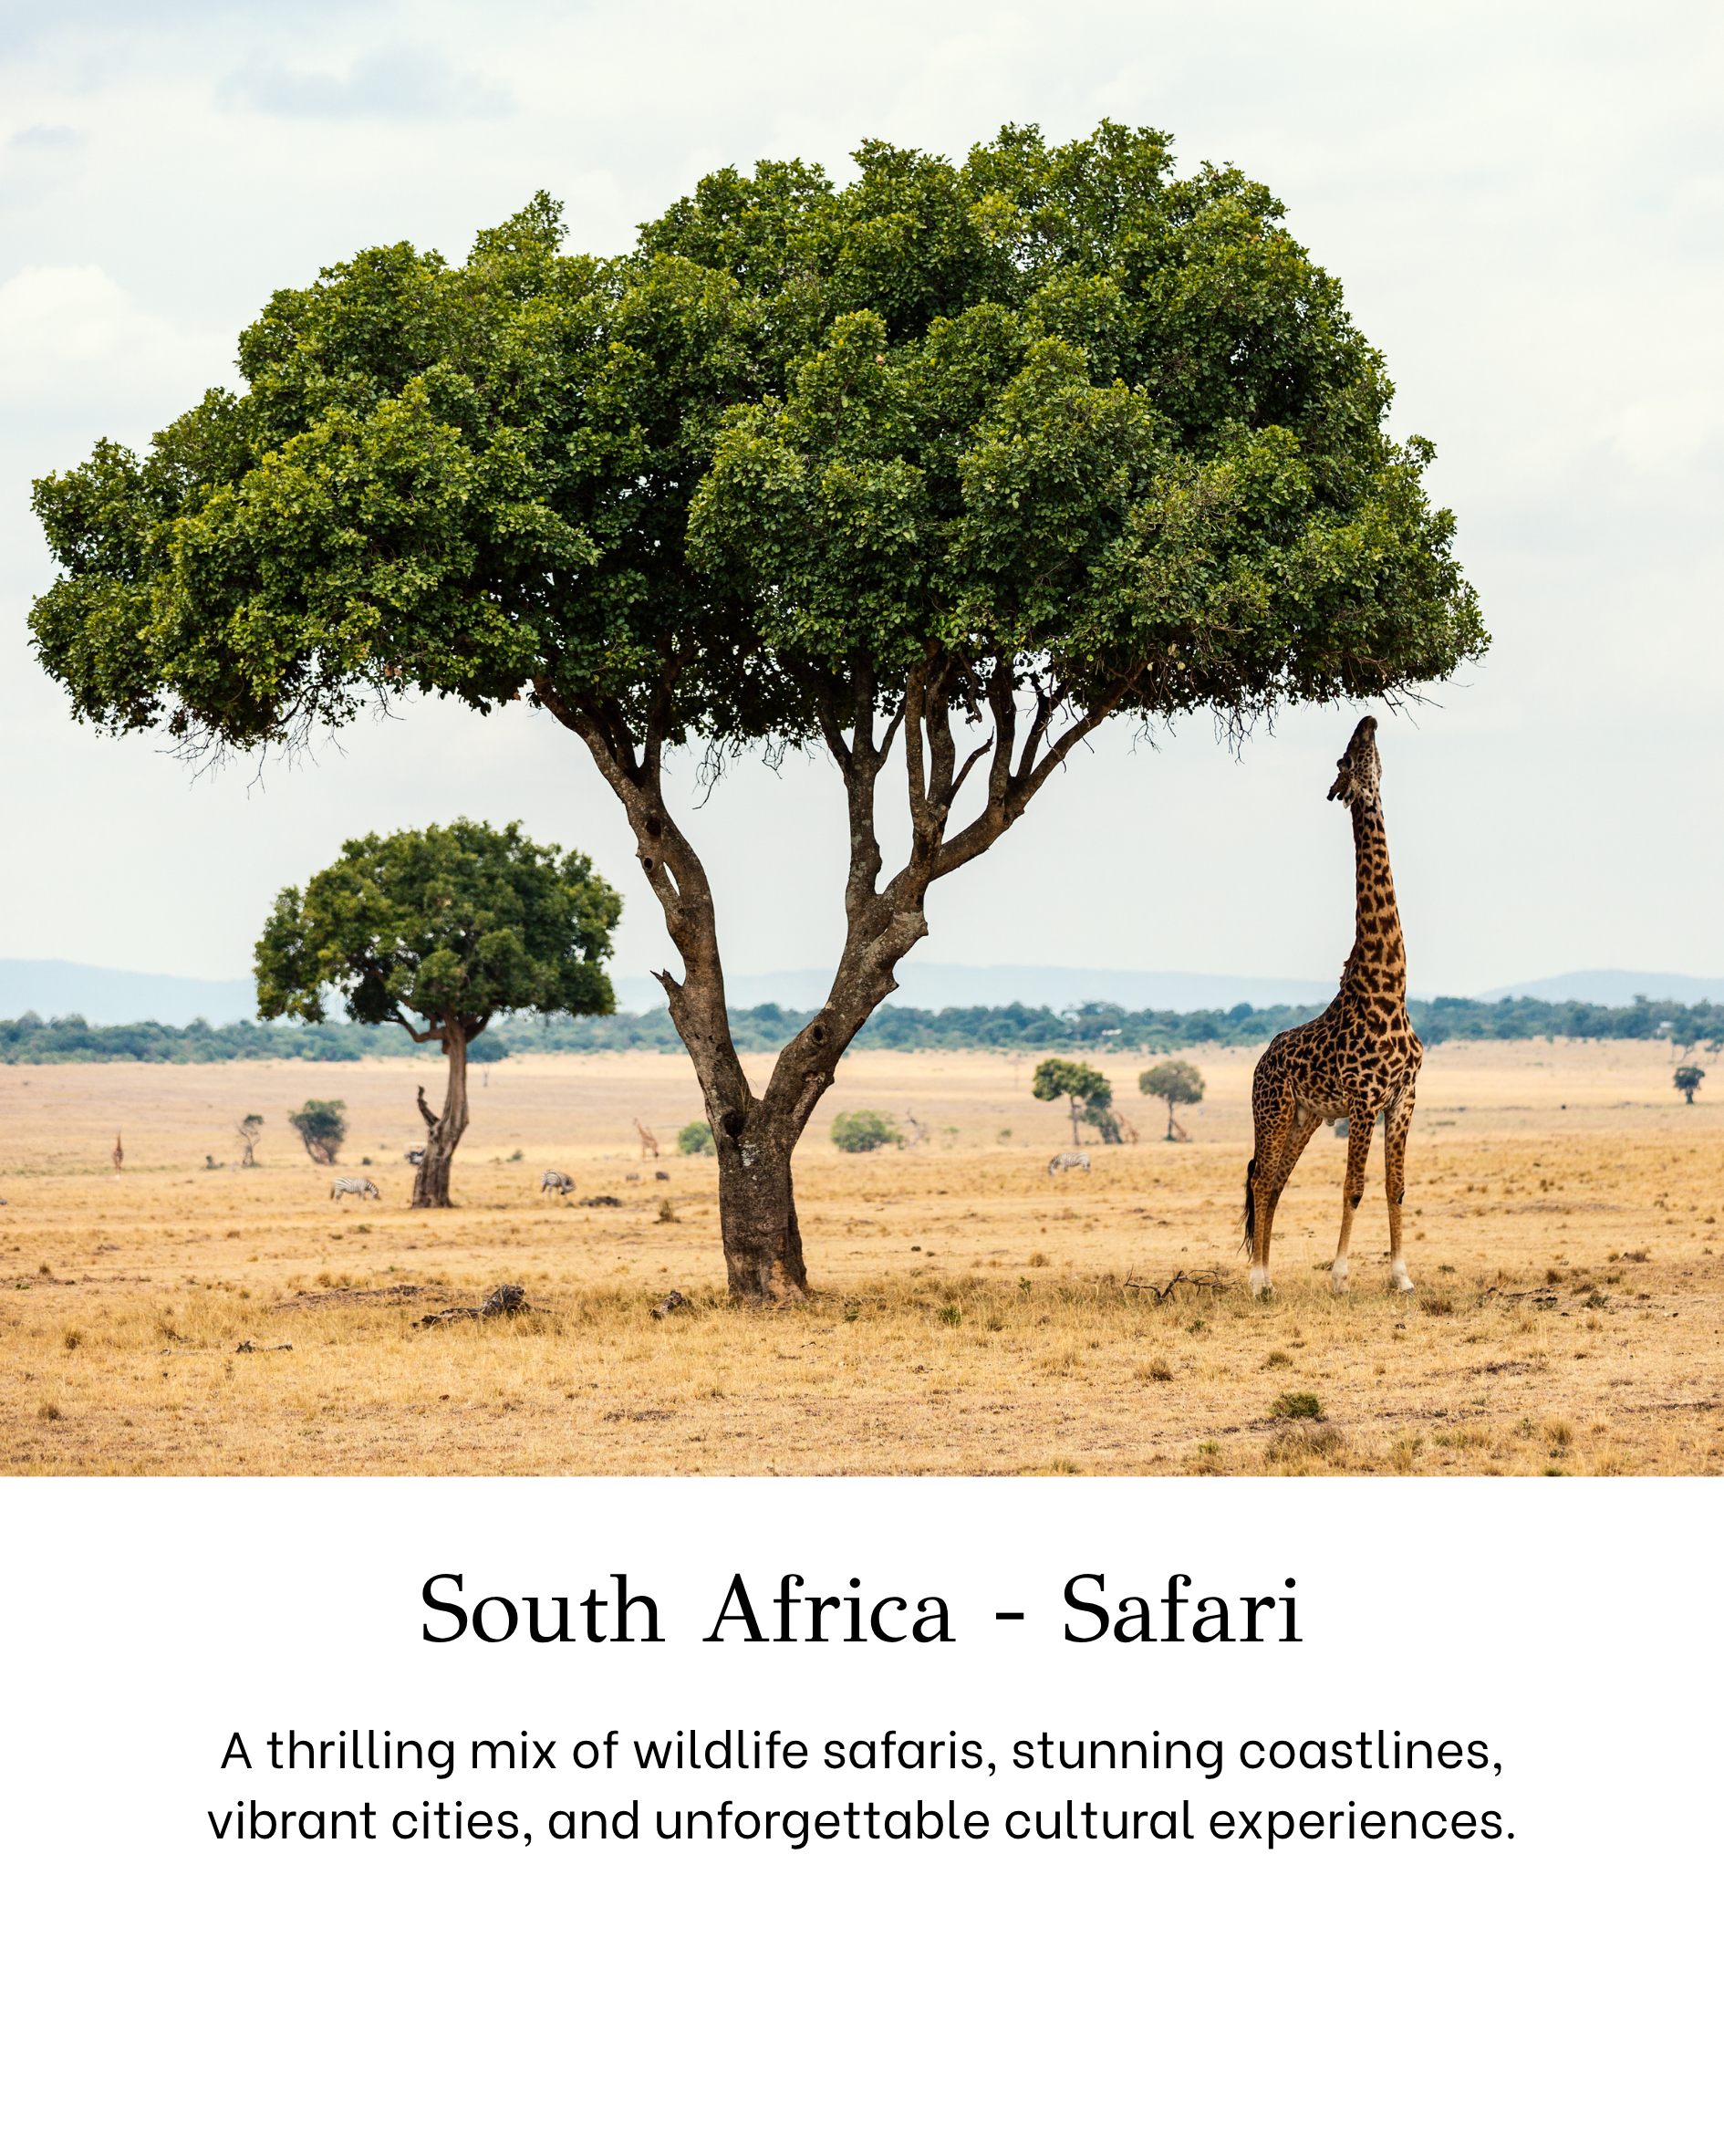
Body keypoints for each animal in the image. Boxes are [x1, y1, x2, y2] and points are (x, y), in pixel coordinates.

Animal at [1244, 714, 1423, 1298]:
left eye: (1362, 750)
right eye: (1346, 759)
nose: (1367, 720)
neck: (1389, 989)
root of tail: (1261, 1062)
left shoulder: (1403, 1099)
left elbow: (1395, 1186)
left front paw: (1401, 1276)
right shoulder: (1364, 1100)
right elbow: (1354, 1187)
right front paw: (1342, 1277)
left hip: (1305, 1116)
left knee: (1275, 1181)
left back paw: (1268, 1278)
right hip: (1273, 1110)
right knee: (1260, 1178)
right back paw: (1258, 1281)